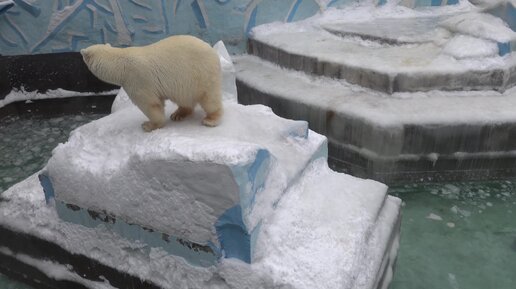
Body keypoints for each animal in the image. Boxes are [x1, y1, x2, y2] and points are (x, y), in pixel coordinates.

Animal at [81, 34, 223, 131]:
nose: (80, 51)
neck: (120, 64)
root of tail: (212, 50)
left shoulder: (137, 79)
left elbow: (150, 104)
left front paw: (148, 125)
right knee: (184, 98)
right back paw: (178, 114)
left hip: (201, 74)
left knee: (209, 99)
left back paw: (211, 119)